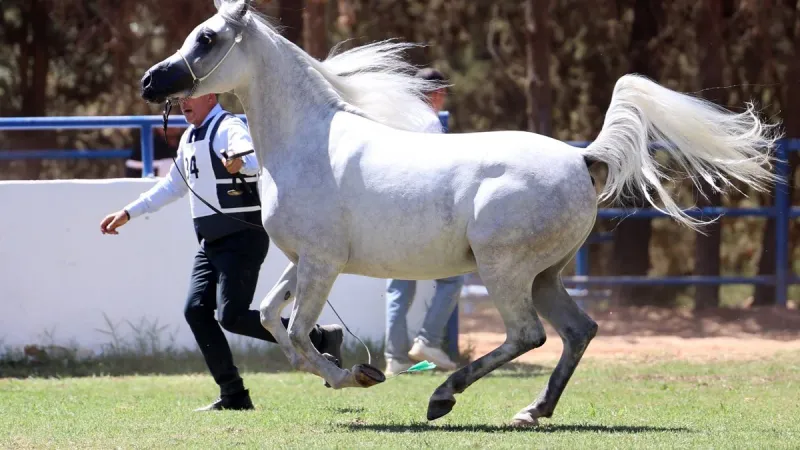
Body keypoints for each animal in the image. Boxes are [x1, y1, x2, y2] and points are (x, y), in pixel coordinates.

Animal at [139, 0, 780, 426]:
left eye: (207, 38)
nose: (150, 81)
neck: (308, 141)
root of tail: (582, 159)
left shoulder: (322, 262)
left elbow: (295, 330)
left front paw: (354, 376)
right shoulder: (305, 262)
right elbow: (273, 319)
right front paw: (349, 368)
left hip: (504, 269)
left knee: (527, 334)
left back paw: (443, 396)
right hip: (545, 275)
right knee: (578, 331)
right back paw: (531, 411)